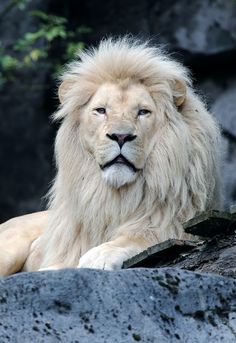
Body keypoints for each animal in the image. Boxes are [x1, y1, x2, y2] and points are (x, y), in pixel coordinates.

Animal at [0, 36, 220, 276]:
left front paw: (99, 255)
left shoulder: (173, 222)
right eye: (101, 110)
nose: (121, 136)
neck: (115, 197)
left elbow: (139, 236)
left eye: (143, 112)